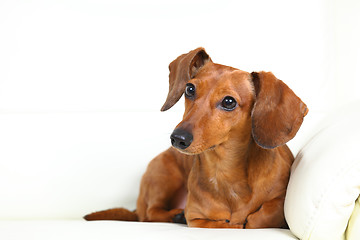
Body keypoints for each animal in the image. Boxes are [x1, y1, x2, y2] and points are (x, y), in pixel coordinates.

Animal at [83, 47, 306, 229]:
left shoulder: (279, 199)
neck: (223, 171)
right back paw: (175, 215)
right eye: (190, 89)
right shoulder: (197, 219)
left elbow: (260, 217)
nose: (177, 138)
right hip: (164, 175)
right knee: (149, 214)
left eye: (229, 102)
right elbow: (225, 223)